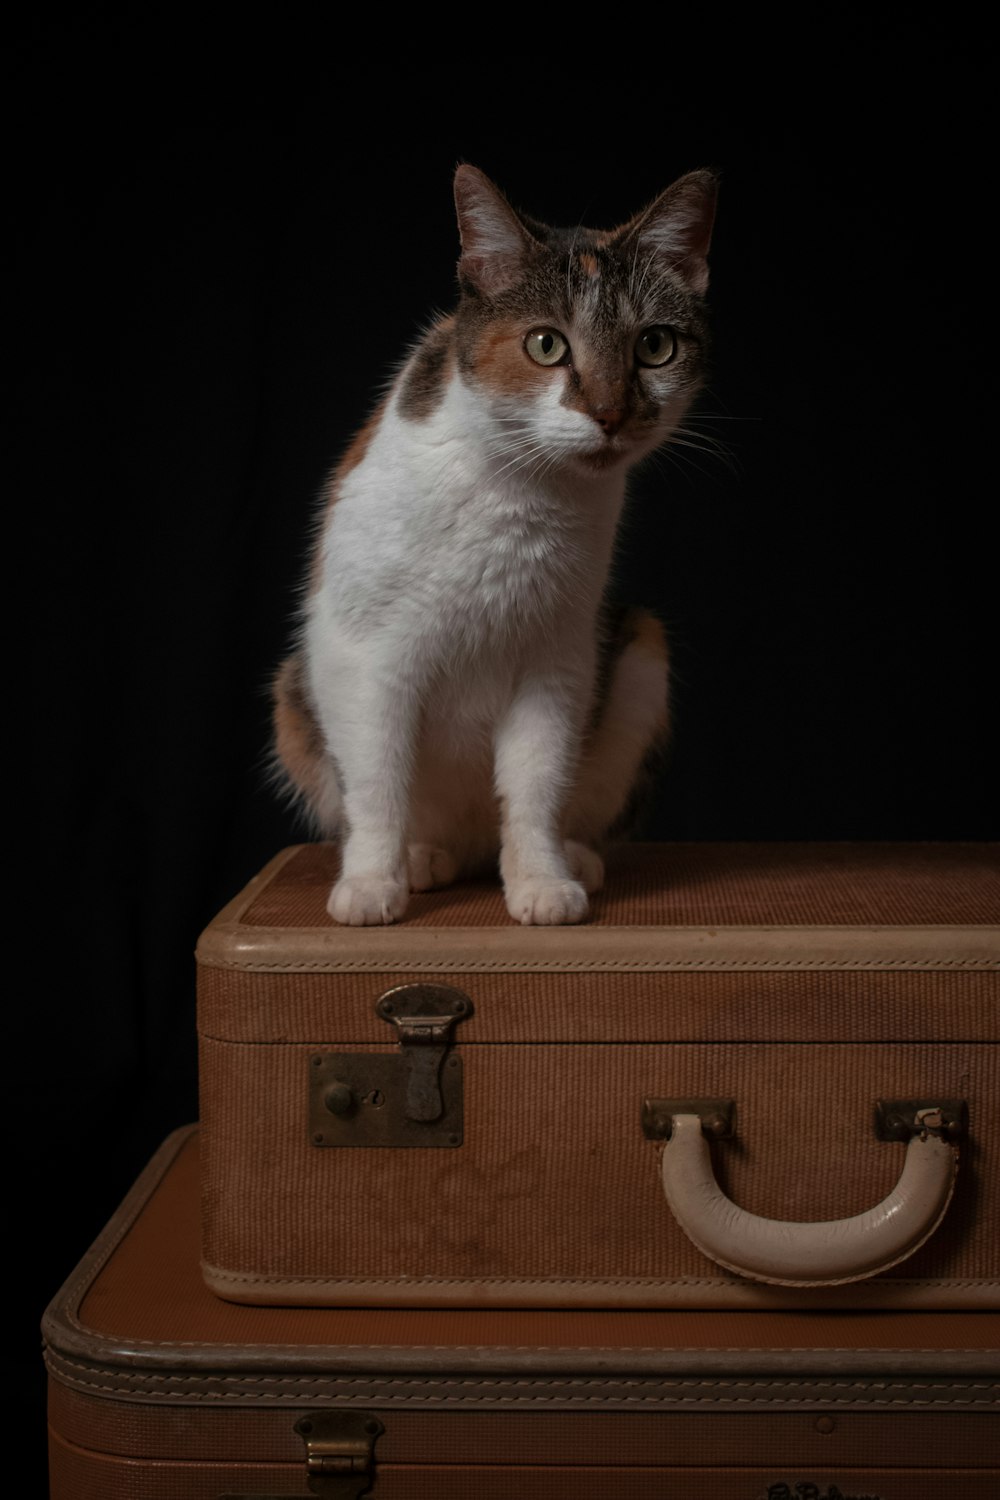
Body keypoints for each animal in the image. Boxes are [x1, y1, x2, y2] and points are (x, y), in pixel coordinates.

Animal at [269, 164, 716, 918]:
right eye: (546, 344)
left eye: (654, 346)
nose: (610, 414)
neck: (518, 493)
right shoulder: (362, 656)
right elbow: (378, 783)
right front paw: (371, 883)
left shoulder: (556, 660)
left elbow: (536, 784)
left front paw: (540, 880)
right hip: (294, 687)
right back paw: (421, 859)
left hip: (638, 650)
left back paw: (567, 856)